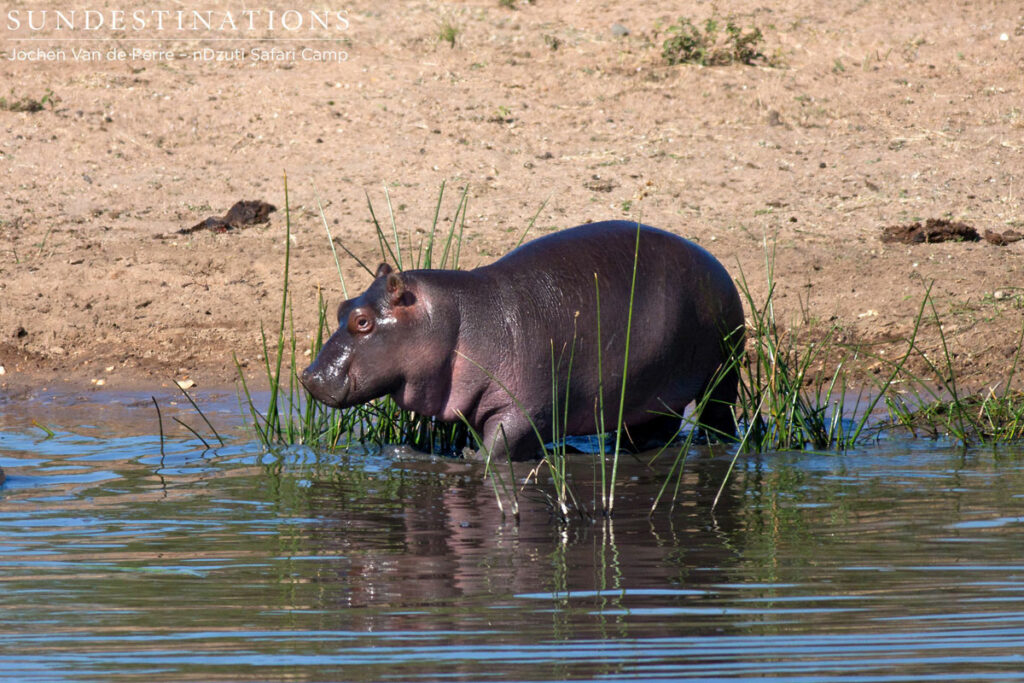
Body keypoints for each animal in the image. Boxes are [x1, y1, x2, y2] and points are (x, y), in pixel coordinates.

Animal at [301, 220, 744, 461]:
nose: (309, 375)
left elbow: (498, 446)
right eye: (340, 307)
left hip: (724, 371)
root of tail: (717, 264)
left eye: (362, 321)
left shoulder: (526, 406)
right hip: (650, 387)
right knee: (656, 425)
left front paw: (458, 457)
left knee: (719, 416)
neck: (461, 318)